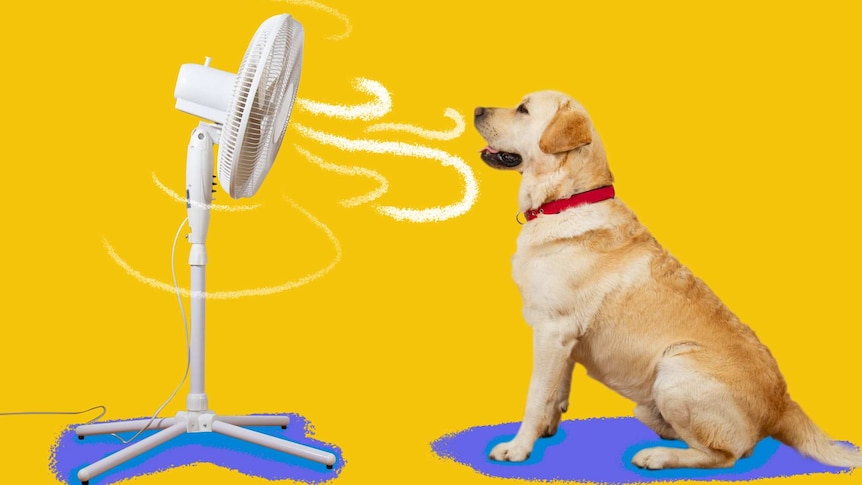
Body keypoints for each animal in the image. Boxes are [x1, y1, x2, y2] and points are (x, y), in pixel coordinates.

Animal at [472, 91, 862, 468]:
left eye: (523, 110)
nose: (476, 109)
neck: (568, 199)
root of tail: (783, 403)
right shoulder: (563, 341)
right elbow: (556, 392)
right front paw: (546, 430)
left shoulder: (553, 330)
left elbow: (536, 396)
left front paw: (518, 447)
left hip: (674, 368)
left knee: (724, 455)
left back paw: (656, 455)